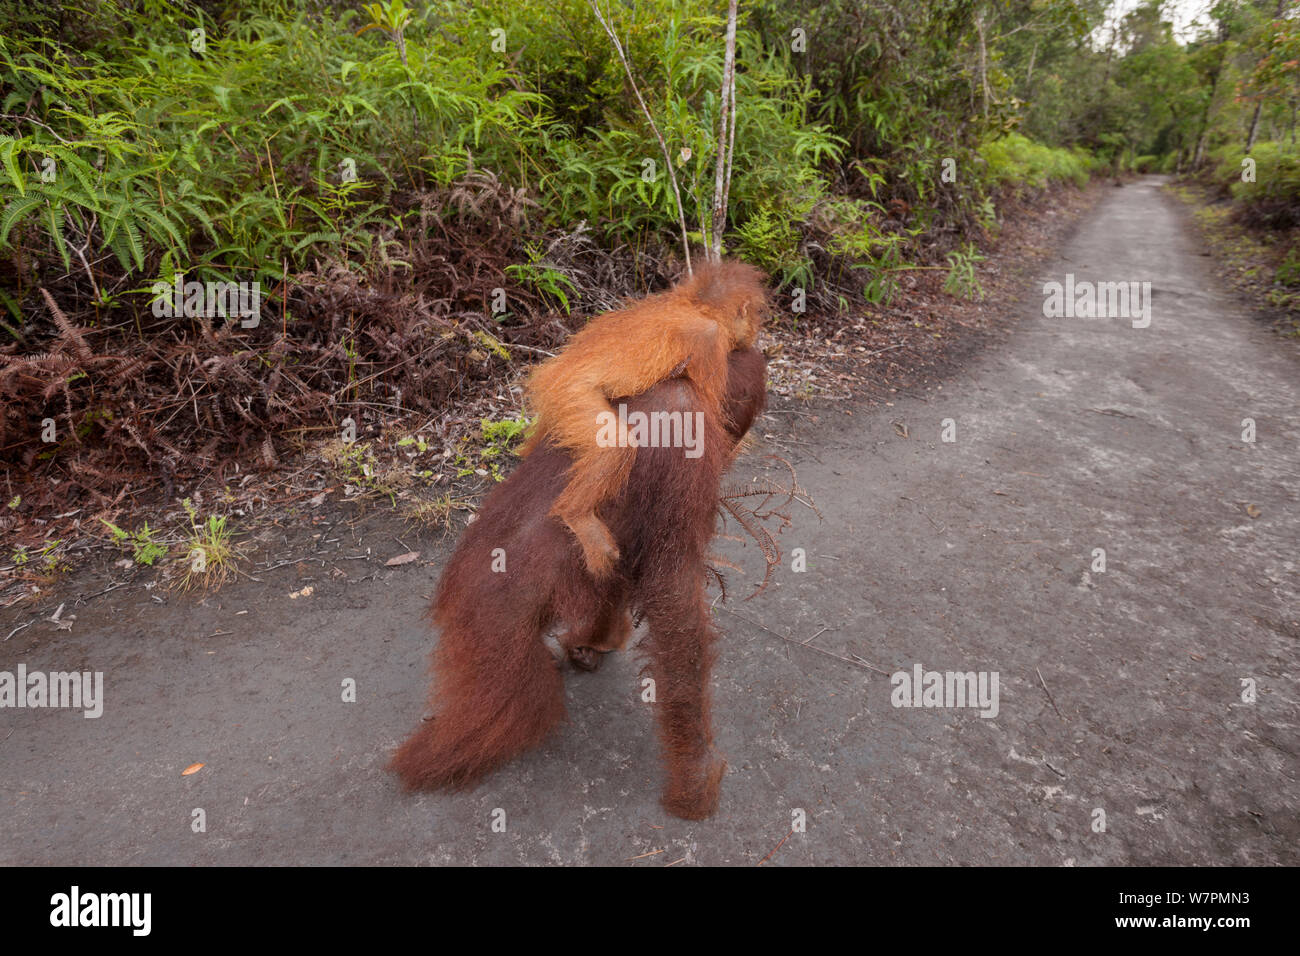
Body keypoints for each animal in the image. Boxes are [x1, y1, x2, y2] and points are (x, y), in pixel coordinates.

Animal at [390, 347, 768, 820]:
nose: (734, 446)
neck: (682, 382)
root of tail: (452, 599)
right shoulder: (686, 436)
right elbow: (674, 599)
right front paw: (698, 778)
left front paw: (594, 641)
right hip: (497, 638)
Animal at [519, 260, 769, 579]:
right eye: (755, 314)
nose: (756, 330)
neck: (697, 307)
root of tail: (551, 372)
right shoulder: (708, 340)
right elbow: (714, 412)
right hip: (571, 395)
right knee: (616, 446)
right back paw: (576, 516)